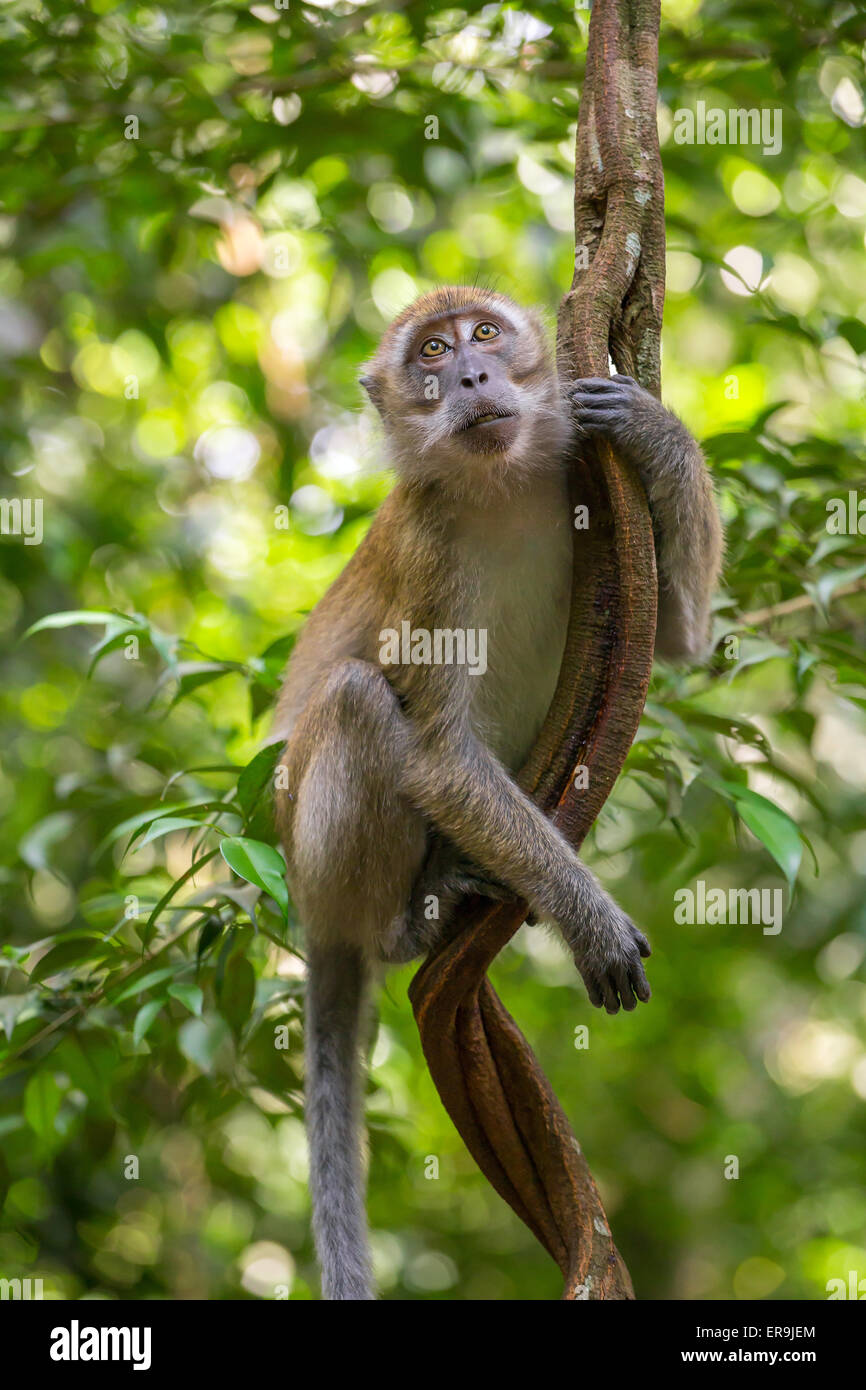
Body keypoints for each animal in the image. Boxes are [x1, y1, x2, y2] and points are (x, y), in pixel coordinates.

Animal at [273, 284, 722, 1301]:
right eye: (432, 353)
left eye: (484, 334)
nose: (473, 376)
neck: (503, 488)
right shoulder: (428, 551)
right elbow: (439, 754)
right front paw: (588, 918)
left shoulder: (596, 507)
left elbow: (676, 640)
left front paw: (656, 431)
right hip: (319, 870)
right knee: (357, 701)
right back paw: (410, 925)